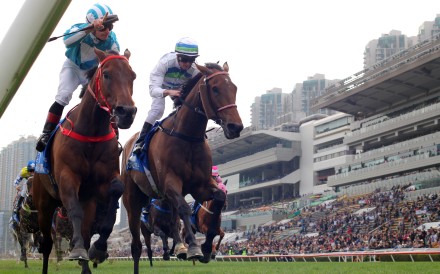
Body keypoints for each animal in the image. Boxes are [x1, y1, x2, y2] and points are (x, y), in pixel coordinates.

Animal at [32, 48, 137, 274]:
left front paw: (99, 248)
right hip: (43, 205)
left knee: (87, 231)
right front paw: (77, 248)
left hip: (88, 201)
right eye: (106, 74)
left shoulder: (103, 182)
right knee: (47, 243)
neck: (91, 132)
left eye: (133, 75)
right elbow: (74, 211)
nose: (127, 112)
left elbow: (116, 192)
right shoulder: (67, 178)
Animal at [122, 61, 242, 272]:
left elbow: (218, 197)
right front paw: (194, 247)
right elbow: (185, 209)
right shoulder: (170, 182)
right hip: (132, 198)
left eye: (234, 88)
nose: (235, 126)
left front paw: (206, 248)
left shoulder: (200, 185)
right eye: (215, 88)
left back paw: (178, 246)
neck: (187, 137)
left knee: (173, 217)